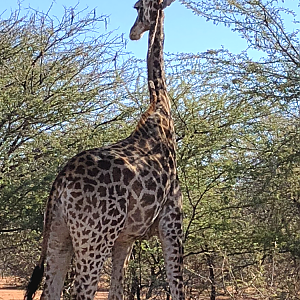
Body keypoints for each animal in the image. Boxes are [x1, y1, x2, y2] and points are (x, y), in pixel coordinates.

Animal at [24, 0, 183, 300]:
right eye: (136, 6)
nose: (133, 32)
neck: (162, 109)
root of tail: (60, 182)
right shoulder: (172, 222)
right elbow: (178, 286)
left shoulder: (125, 238)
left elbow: (117, 290)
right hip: (94, 238)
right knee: (80, 291)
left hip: (59, 235)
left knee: (50, 289)